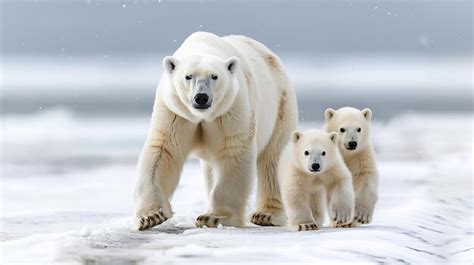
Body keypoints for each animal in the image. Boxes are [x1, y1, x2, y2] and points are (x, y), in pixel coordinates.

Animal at [131, 30, 298, 229]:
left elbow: (233, 152)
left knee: (273, 160)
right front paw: (151, 217)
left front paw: (214, 217)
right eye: (188, 76)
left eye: (214, 76)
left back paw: (266, 215)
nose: (201, 97)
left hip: (281, 108)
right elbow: (163, 152)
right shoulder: (175, 112)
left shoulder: (230, 109)